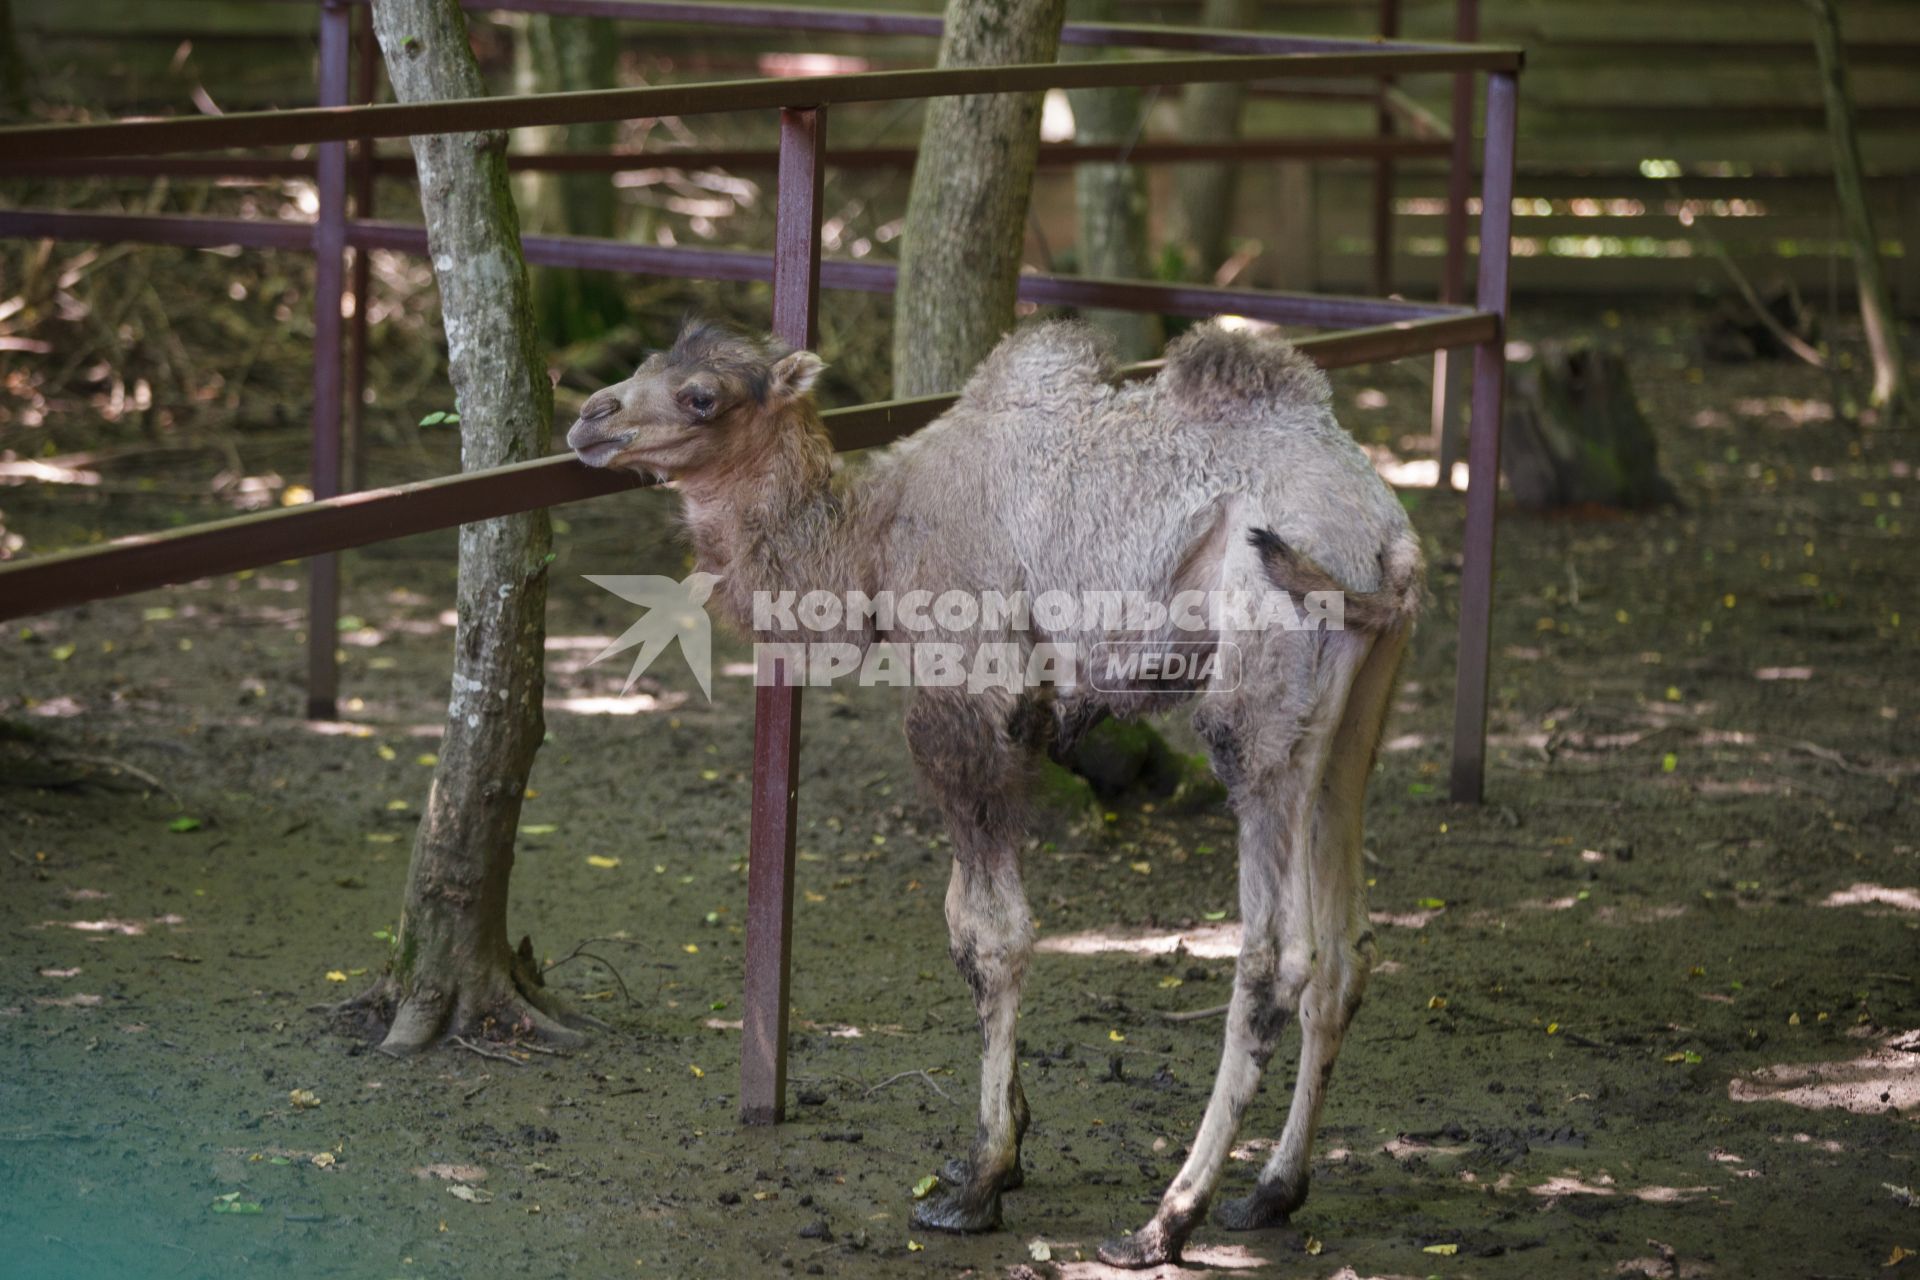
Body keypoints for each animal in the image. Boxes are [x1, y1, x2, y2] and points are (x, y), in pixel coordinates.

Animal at [560, 320, 1420, 1274]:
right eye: (645, 363)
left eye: (702, 395)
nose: (591, 417)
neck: (875, 540)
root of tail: (1385, 538)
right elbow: (962, 924)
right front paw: (1006, 1145)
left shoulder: (967, 700)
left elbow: (990, 937)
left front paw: (978, 1182)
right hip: (1358, 704)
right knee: (1345, 948)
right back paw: (1272, 1191)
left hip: (1262, 682)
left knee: (1276, 956)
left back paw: (1164, 1220)